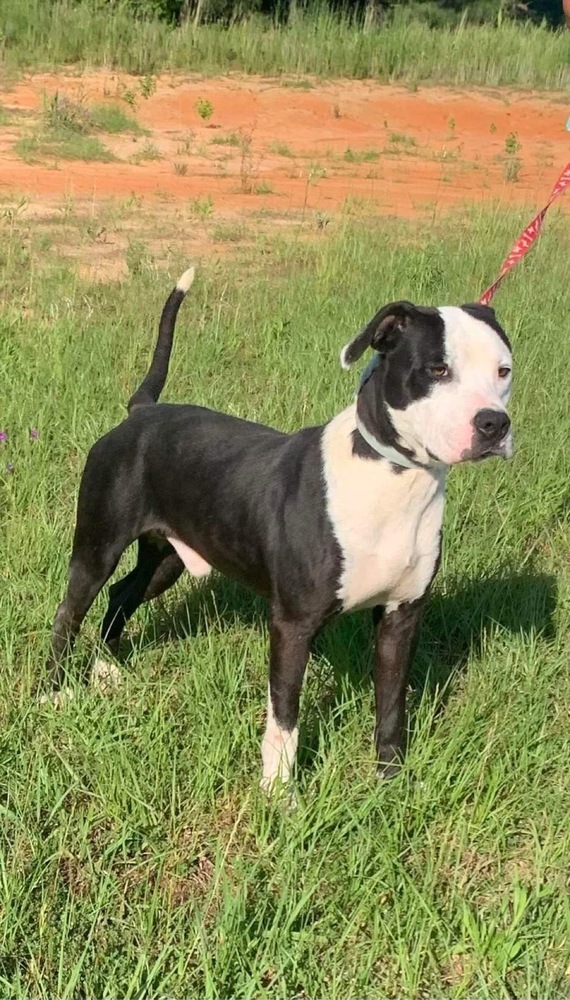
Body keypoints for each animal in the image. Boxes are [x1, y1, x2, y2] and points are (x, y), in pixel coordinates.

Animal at [46, 270, 512, 792]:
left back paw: (107, 668)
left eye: (503, 371)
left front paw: (390, 785)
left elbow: (392, 708)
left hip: (167, 557)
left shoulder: (401, 616)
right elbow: (284, 716)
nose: (494, 424)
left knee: (124, 593)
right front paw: (279, 795)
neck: (390, 477)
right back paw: (54, 693)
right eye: (437, 370)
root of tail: (142, 410)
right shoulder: (292, 624)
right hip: (97, 546)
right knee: (71, 611)